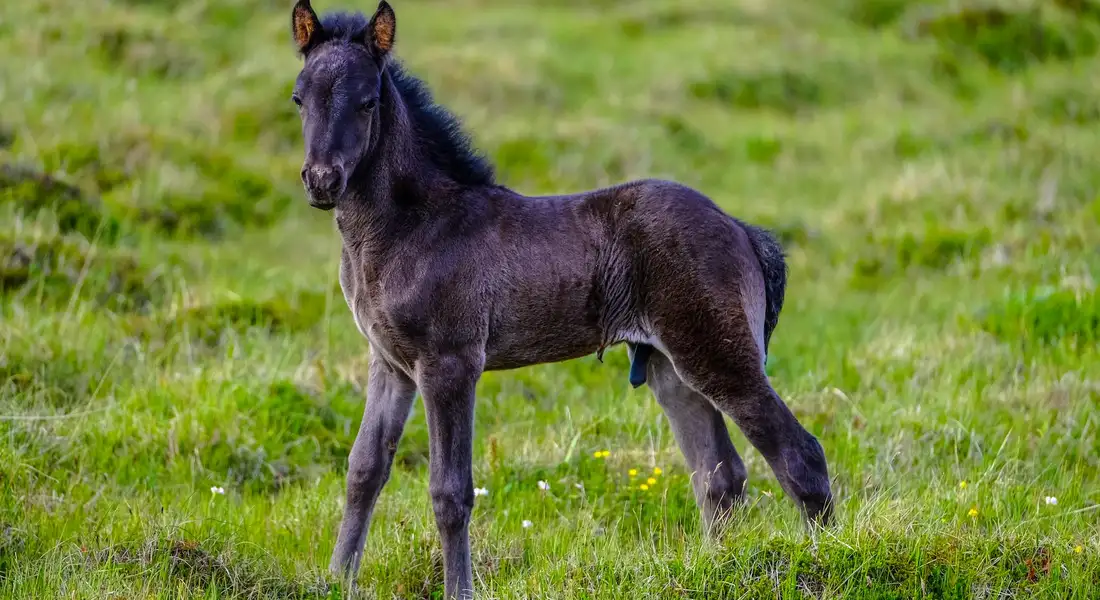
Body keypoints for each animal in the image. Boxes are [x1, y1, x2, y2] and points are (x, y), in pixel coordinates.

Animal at [287, 1, 833, 597]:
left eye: (368, 101)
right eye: (299, 98)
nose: (322, 181)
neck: (410, 225)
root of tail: (740, 229)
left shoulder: (449, 363)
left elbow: (450, 491)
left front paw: (459, 589)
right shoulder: (389, 363)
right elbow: (363, 470)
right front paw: (336, 580)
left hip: (718, 354)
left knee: (799, 456)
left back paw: (823, 560)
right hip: (669, 368)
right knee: (719, 476)